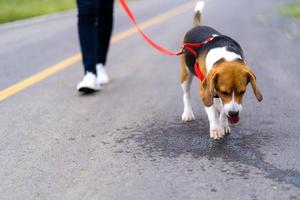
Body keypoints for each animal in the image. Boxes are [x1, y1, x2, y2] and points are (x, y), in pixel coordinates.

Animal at [180, 1, 262, 140]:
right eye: (225, 92)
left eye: (242, 91)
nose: (234, 114)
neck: (225, 57)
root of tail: (197, 26)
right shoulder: (205, 90)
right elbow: (212, 110)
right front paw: (216, 129)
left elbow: (223, 110)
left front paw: (223, 124)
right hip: (186, 74)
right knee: (186, 94)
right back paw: (188, 113)